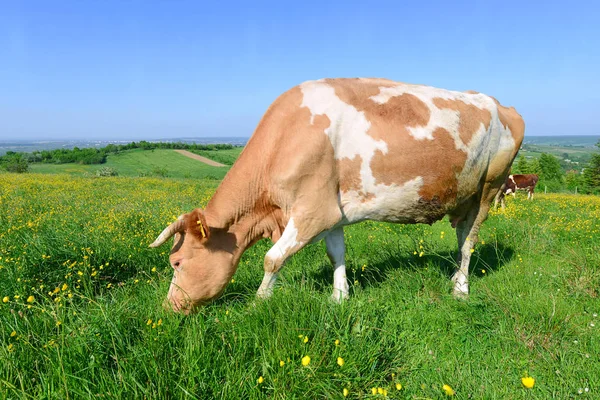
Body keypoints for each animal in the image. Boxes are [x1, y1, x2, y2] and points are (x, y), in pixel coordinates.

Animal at [150, 77, 524, 312]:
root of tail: (500, 104)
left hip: (490, 188)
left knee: (469, 241)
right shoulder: (332, 211)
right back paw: (455, 279)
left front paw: (258, 303)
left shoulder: (312, 212)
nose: (168, 308)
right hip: (465, 195)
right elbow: (336, 254)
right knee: (461, 238)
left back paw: (461, 290)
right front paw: (339, 297)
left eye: (176, 262)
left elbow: (273, 258)